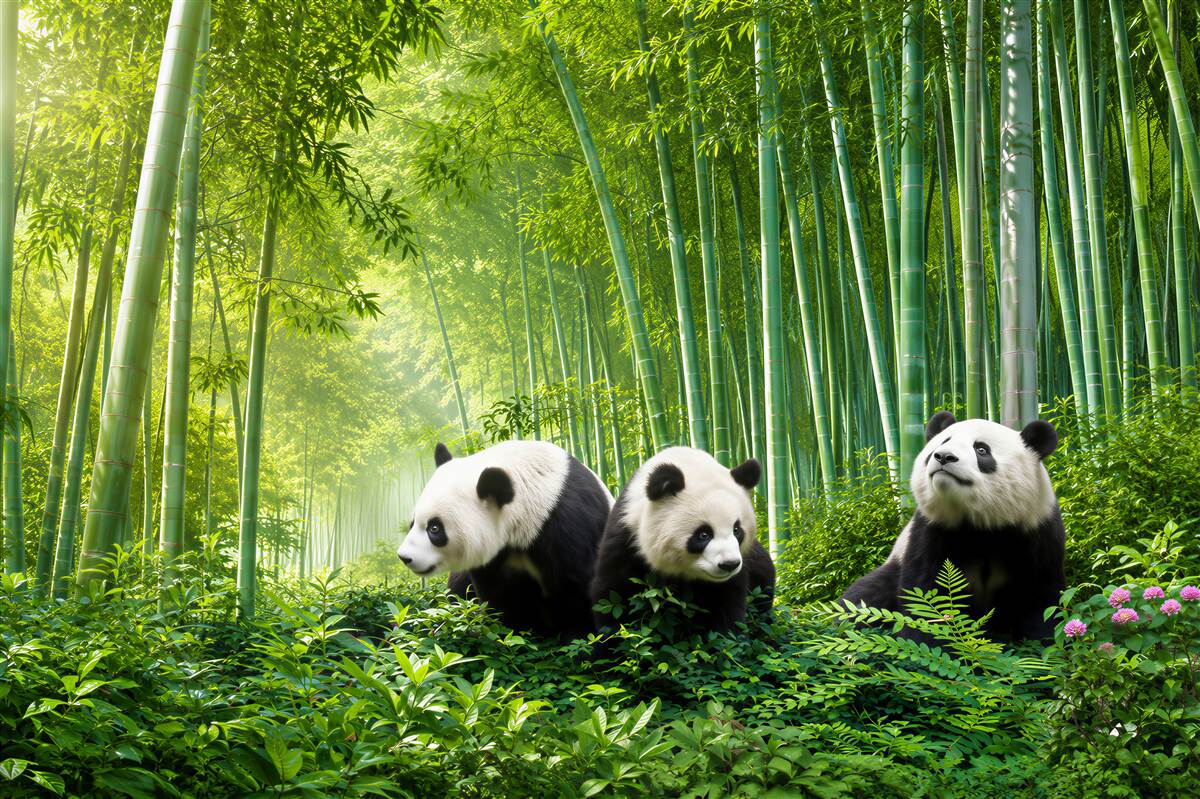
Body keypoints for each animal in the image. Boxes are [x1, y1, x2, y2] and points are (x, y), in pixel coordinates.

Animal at [396, 440, 613, 639]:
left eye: (434, 528)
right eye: (412, 523)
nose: (404, 557)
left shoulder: (567, 526)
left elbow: (577, 589)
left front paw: (574, 636)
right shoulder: (494, 556)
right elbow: (500, 596)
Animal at [590, 446, 775, 635]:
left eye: (737, 530)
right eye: (703, 534)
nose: (729, 564)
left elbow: (728, 608)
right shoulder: (627, 538)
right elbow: (616, 597)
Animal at [841, 411, 1066, 643]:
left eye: (981, 449)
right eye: (943, 442)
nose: (944, 456)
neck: (981, 525)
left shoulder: (1036, 532)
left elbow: (1039, 596)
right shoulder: (931, 531)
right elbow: (926, 593)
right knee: (864, 600)